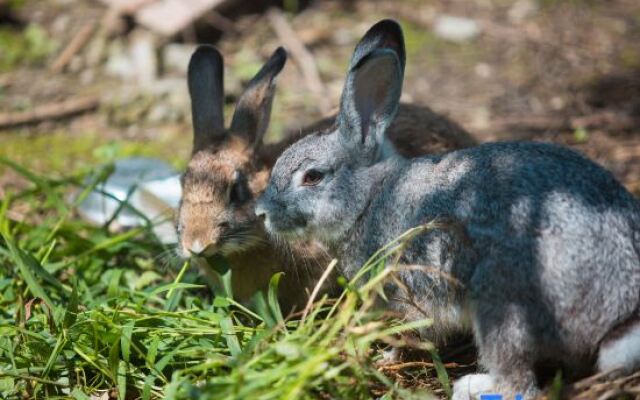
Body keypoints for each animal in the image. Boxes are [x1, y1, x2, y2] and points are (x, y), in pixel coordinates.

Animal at [256, 19, 640, 400]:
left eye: (313, 177)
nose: (261, 212)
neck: (370, 197)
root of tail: (619, 310)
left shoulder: (409, 294)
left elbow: (411, 334)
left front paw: (385, 358)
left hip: (502, 306)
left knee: (519, 381)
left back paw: (471, 385)